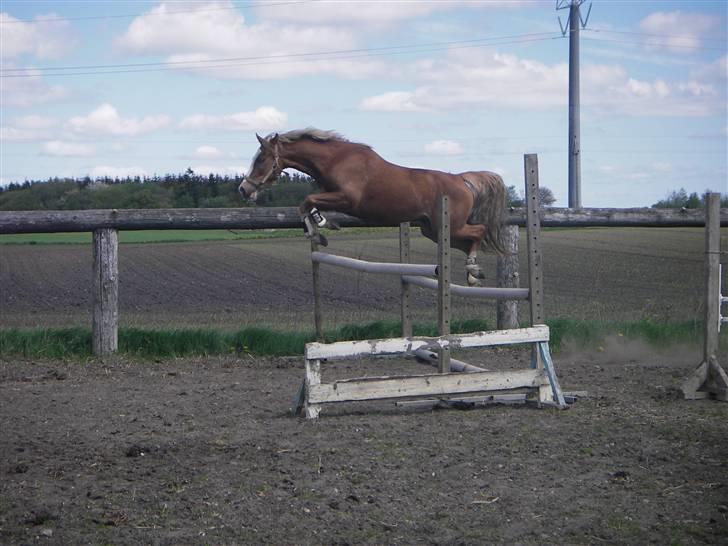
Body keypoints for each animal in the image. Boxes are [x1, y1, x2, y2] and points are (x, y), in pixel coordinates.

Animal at [239, 128, 506, 284]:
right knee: (468, 241)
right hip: (433, 230)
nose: (244, 189)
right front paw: (321, 227)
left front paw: (320, 230)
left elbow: (307, 202)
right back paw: (473, 273)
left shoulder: (348, 199)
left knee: (479, 231)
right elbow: (307, 206)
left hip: (450, 225)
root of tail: (462, 179)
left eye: (261, 159)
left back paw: (473, 271)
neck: (336, 159)